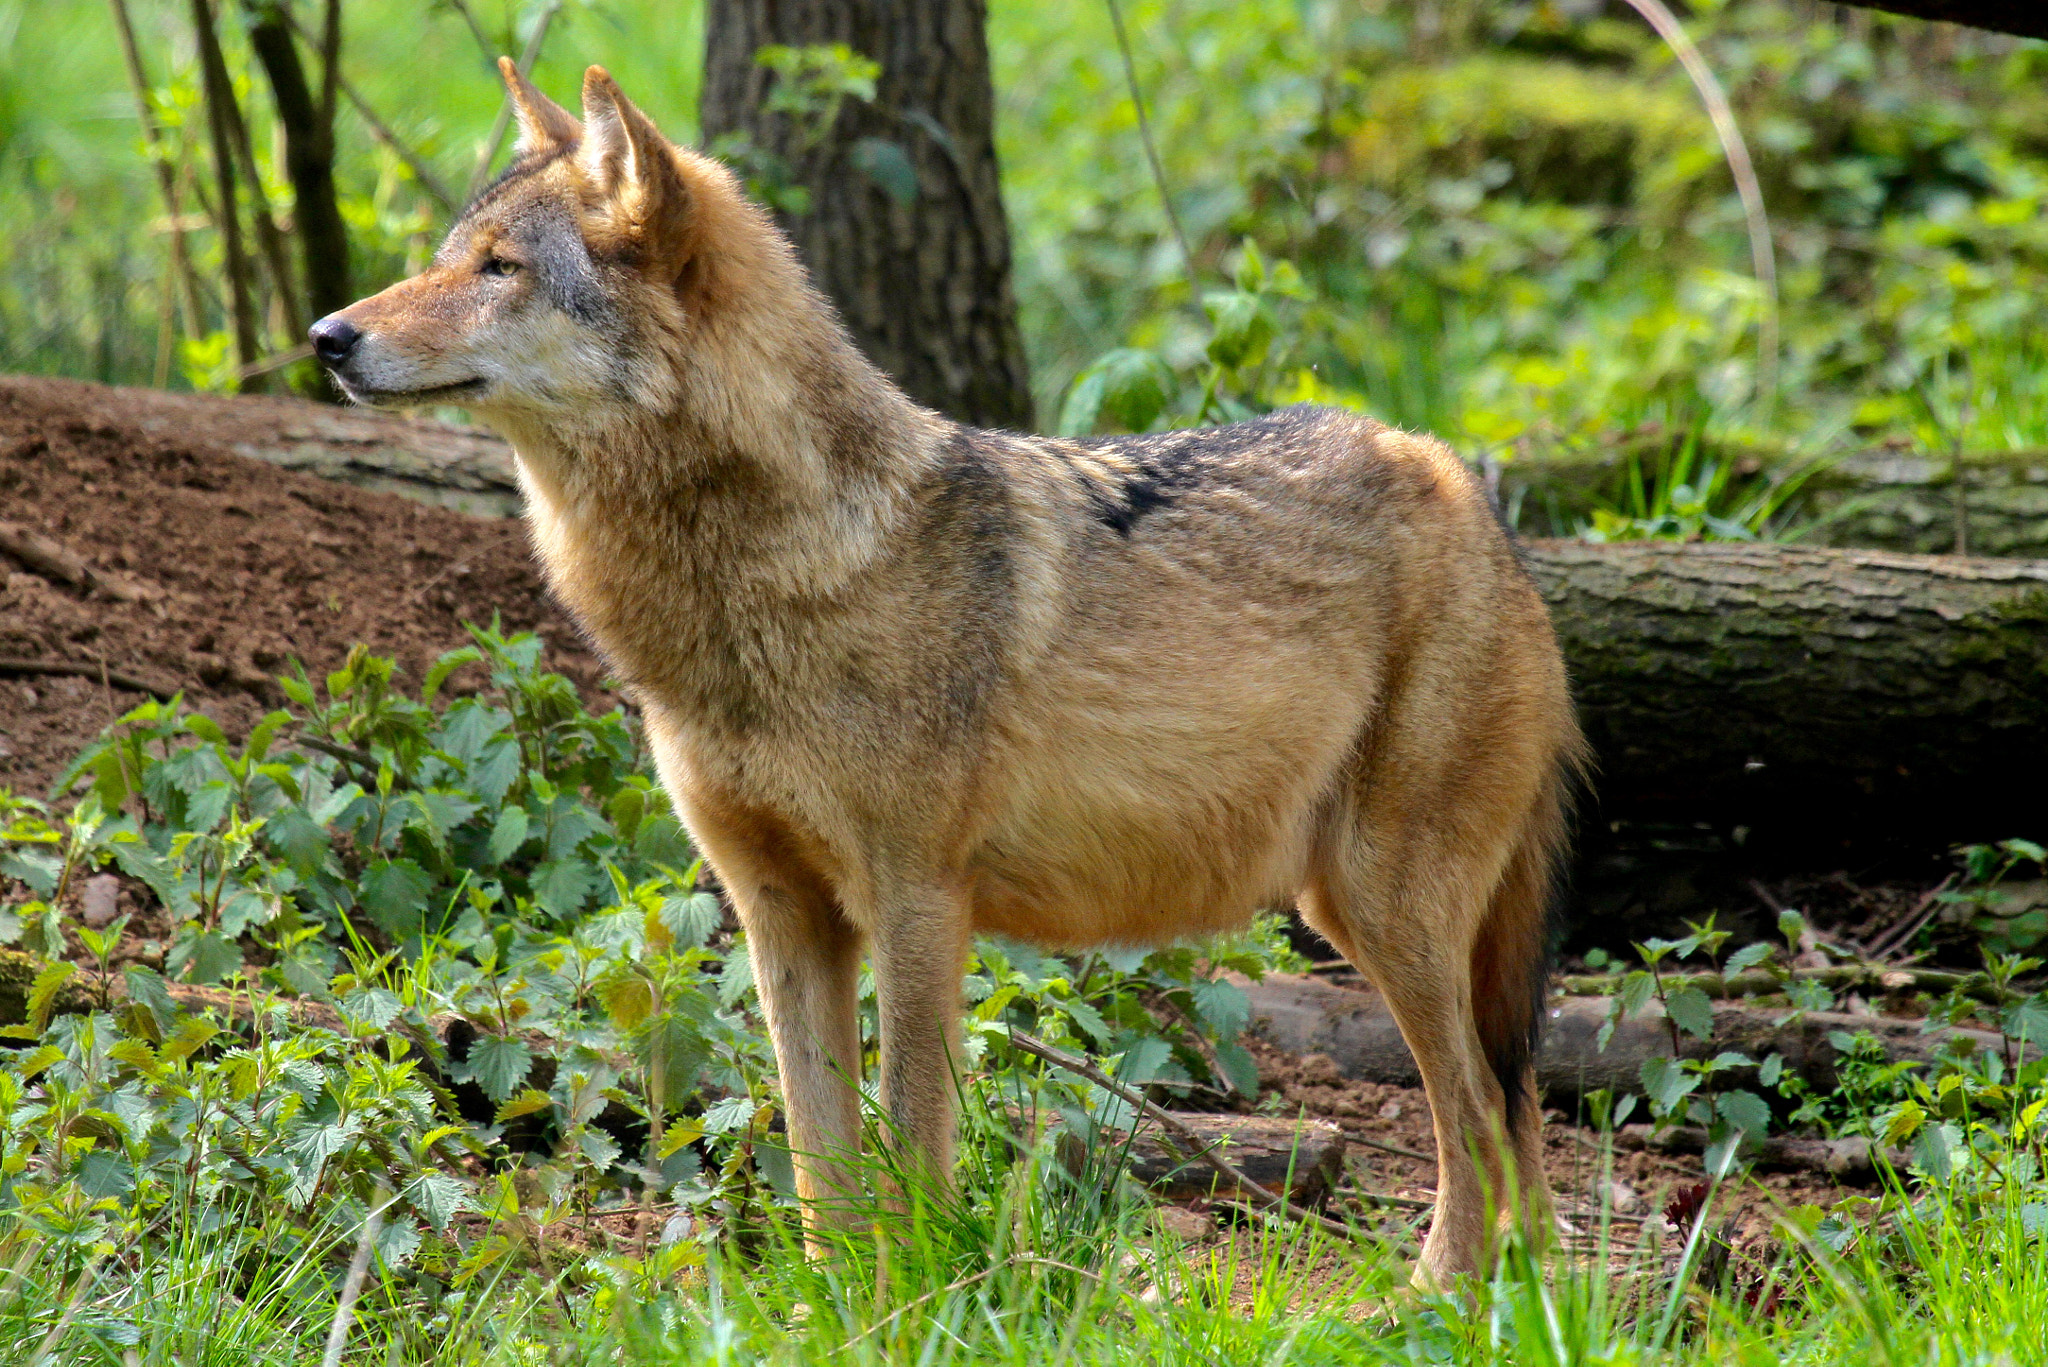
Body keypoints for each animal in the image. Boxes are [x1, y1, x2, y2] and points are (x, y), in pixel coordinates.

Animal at [310, 61, 1585, 1286]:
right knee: (1515, 1130)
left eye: (499, 269)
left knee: (1478, 1116)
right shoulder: (778, 910)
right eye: (445, 258)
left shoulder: (917, 895)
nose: (327, 335)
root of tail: (1464, 485)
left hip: (1378, 907)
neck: (769, 576)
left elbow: (908, 1134)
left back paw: (1432, 1298)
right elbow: (817, 1156)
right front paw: (832, 1307)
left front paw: (916, 1294)